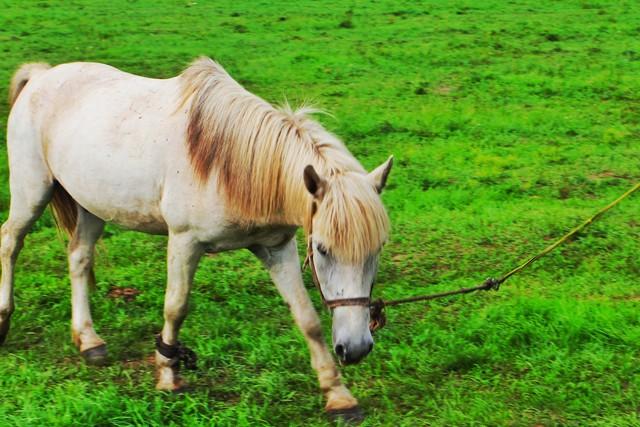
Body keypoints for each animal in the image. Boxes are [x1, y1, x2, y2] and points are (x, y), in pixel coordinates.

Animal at [0, 58, 392, 420]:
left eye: (377, 250)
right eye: (323, 250)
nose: (356, 348)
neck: (227, 163)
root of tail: (42, 76)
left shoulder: (275, 248)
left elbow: (306, 317)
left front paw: (337, 394)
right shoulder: (184, 242)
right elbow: (176, 307)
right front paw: (168, 374)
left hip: (92, 205)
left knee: (79, 257)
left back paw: (88, 340)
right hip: (32, 190)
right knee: (10, 241)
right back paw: (4, 321)